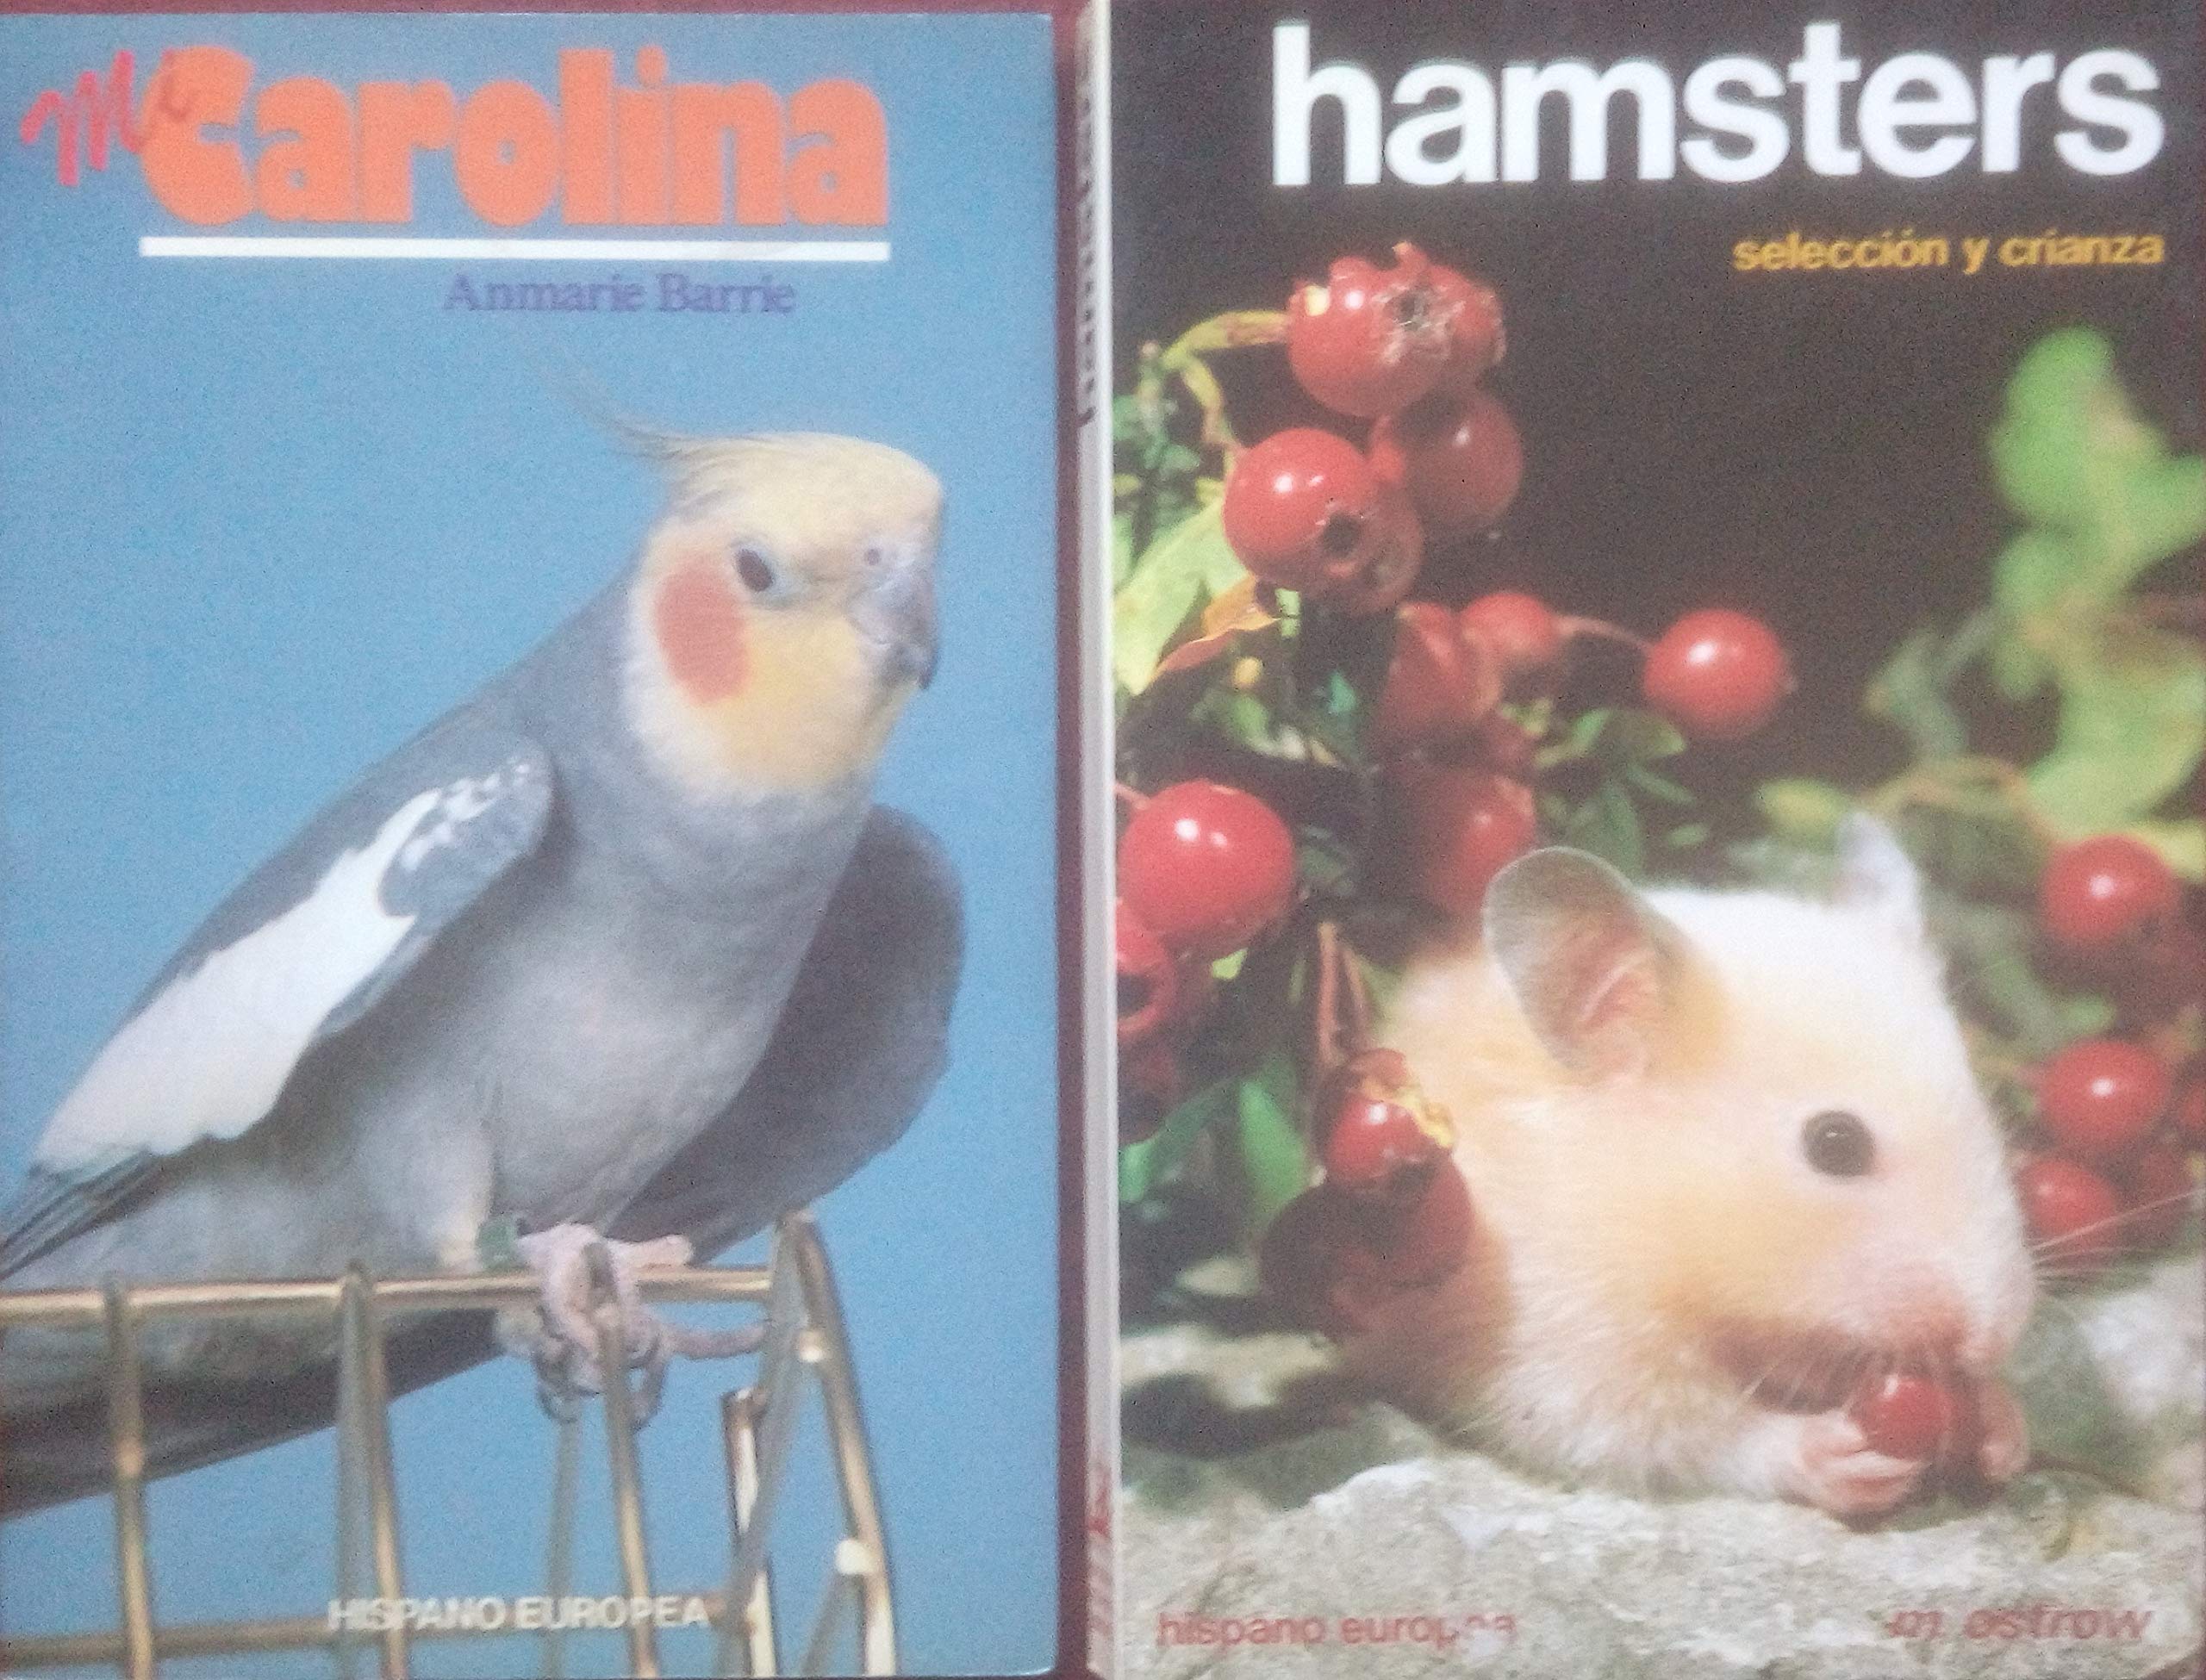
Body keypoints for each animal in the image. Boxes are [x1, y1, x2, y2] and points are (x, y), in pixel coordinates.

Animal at [1350, 818, 2036, 1517]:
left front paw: (2004, 1430)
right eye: (1836, 1144)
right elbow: (1696, 1434)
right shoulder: (1564, 1345)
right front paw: (1843, 1458)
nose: (1996, 1336)